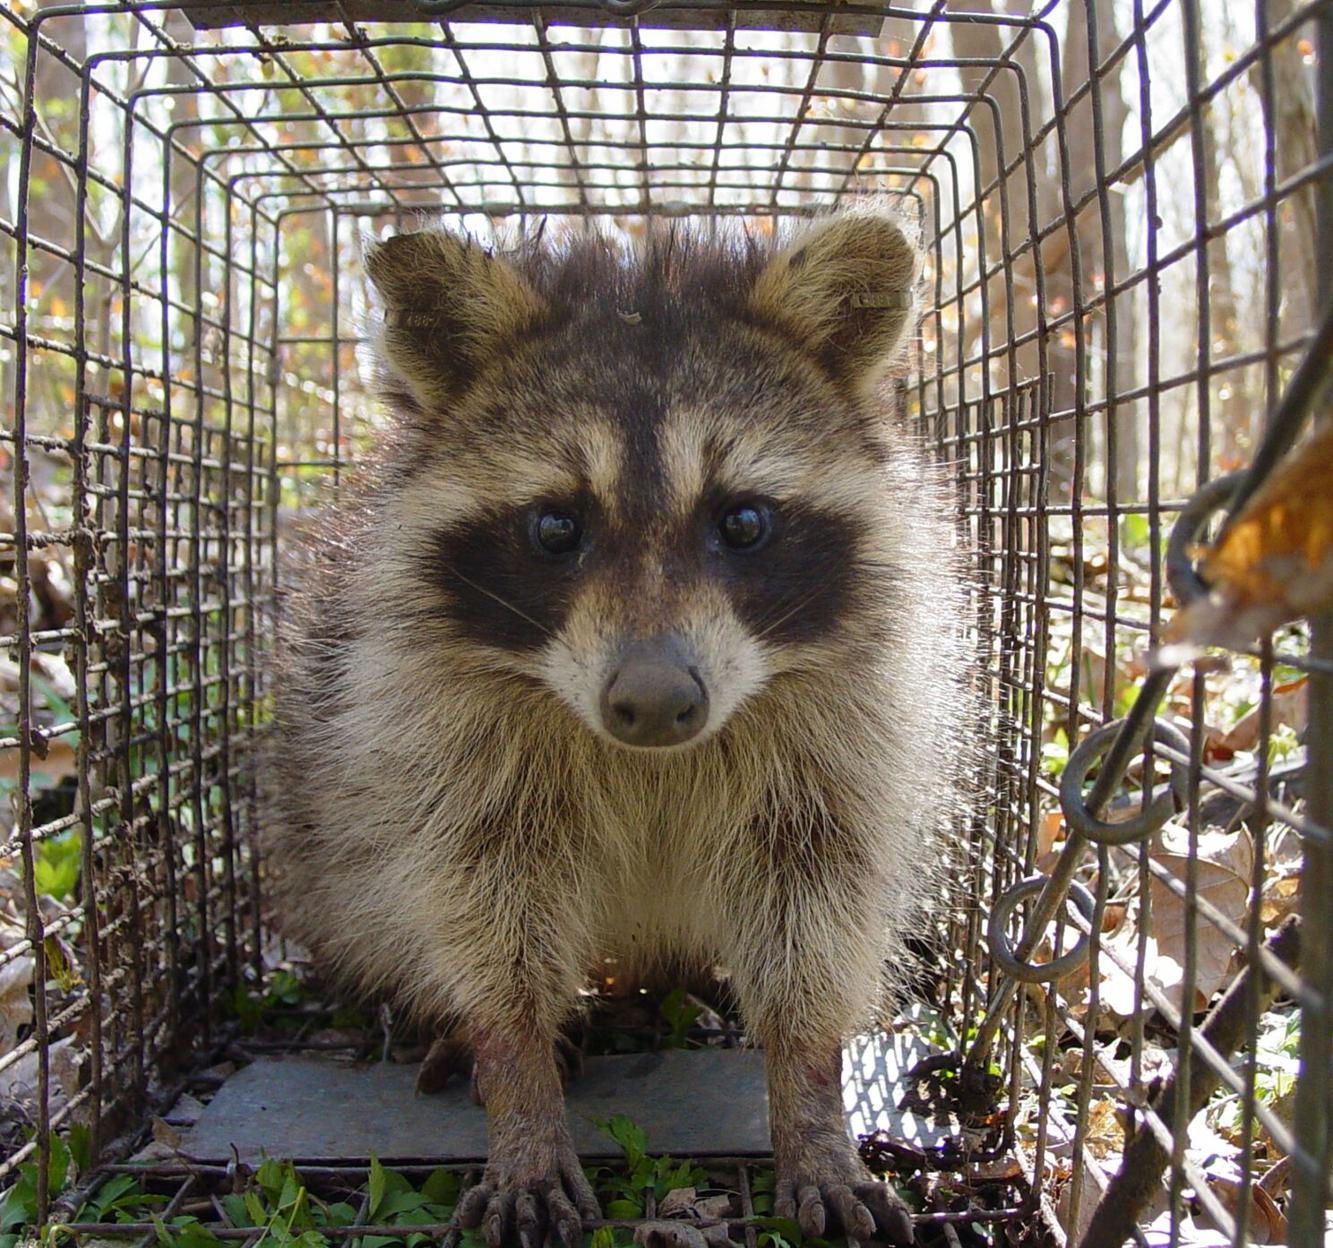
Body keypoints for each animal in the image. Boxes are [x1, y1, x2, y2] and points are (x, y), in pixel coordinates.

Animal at [268, 205, 971, 1248]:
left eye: (743, 521)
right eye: (557, 528)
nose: (652, 701)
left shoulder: (842, 728)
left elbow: (814, 898)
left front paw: (809, 1094)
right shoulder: (428, 723)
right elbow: (480, 901)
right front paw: (516, 1073)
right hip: (320, 828)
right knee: (374, 895)